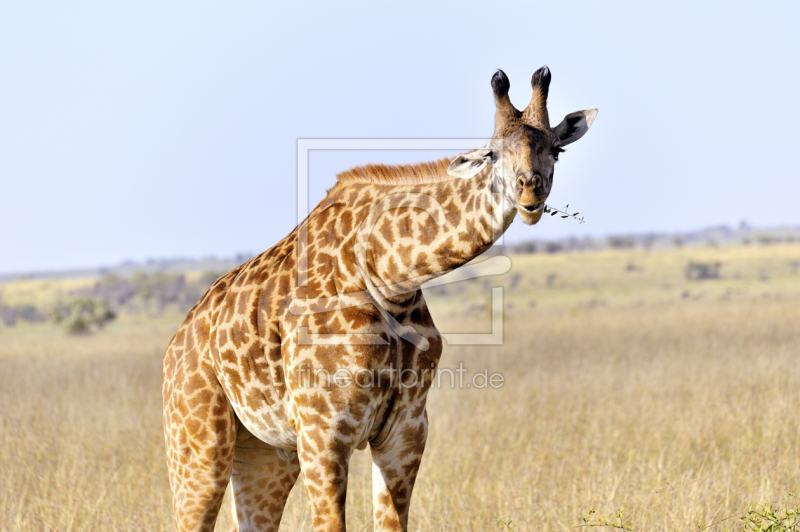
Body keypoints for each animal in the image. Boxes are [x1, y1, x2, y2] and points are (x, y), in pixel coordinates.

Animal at [162, 67, 592, 532]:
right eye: (492, 154)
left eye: (556, 150)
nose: (530, 191)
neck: (388, 277)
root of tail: (175, 345)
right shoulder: (323, 432)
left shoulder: (406, 431)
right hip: (198, 445)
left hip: (264, 452)